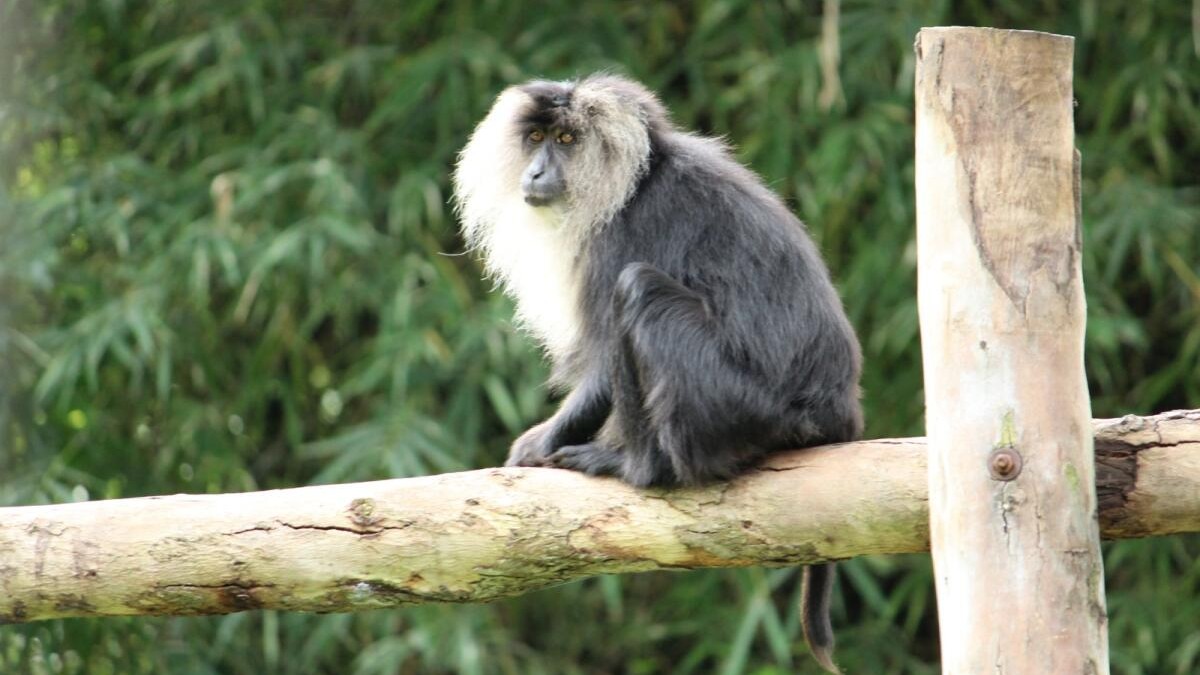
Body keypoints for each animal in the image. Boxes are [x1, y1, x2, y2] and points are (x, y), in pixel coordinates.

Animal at [453, 74, 863, 674]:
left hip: (743, 407)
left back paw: (639, 468)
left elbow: (602, 367)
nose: (536, 173)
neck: (631, 183)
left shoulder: (619, 236)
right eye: (535, 139)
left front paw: (539, 446)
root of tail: (840, 411)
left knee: (639, 290)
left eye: (568, 140)